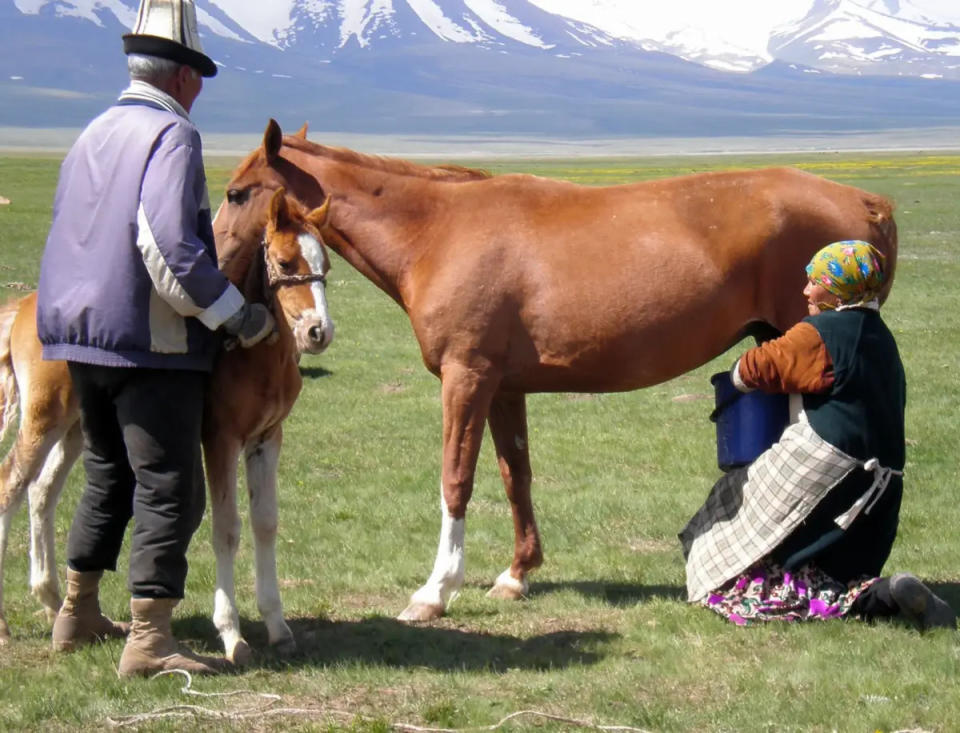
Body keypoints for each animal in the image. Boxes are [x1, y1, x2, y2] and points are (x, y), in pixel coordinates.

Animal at [221, 121, 896, 624]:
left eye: (235, 194)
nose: (219, 257)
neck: (435, 231)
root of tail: (864, 198)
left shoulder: (466, 378)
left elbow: (455, 480)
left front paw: (435, 592)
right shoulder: (502, 388)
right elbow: (514, 476)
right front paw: (516, 575)